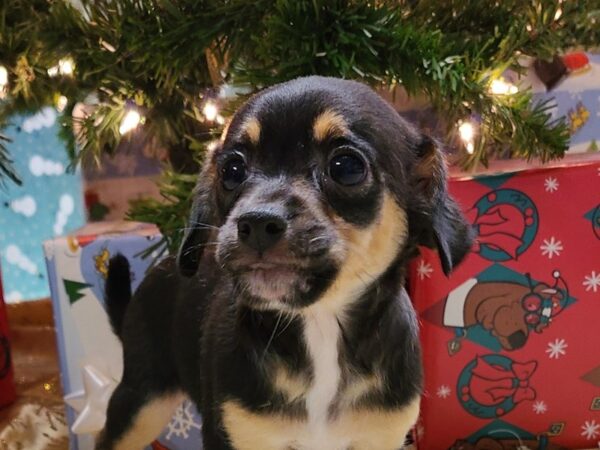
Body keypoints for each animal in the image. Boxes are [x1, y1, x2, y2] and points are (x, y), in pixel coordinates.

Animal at [97, 75, 474, 448]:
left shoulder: (379, 437)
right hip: (142, 400)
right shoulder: (236, 432)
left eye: (347, 167)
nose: (257, 223)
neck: (320, 325)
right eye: (232, 170)